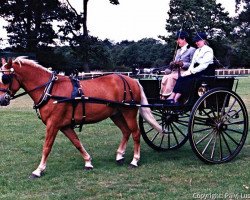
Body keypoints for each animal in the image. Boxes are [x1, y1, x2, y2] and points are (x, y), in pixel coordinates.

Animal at [0, 56, 162, 178]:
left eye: (5, 78)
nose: (2, 100)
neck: (50, 90)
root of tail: (132, 80)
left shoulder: (53, 124)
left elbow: (47, 147)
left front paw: (38, 170)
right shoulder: (64, 125)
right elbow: (76, 142)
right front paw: (88, 162)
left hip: (129, 112)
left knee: (135, 133)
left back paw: (135, 160)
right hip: (116, 114)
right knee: (126, 131)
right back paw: (119, 156)